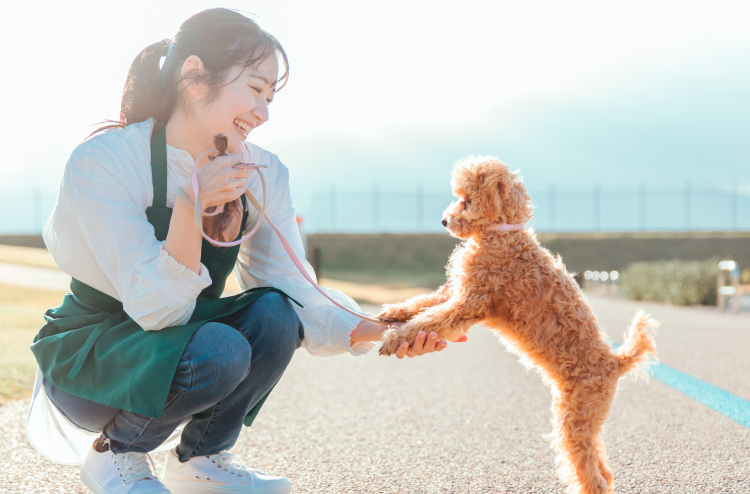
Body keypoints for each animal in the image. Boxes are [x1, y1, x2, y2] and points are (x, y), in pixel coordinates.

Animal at [378, 156, 656, 494]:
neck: (500, 233)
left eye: (466, 200)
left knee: (591, 472)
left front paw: (395, 339)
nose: (444, 221)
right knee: (602, 468)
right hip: (586, 416)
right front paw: (393, 312)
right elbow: (422, 303)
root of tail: (615, 362)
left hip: (575, 415)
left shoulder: (469, 302)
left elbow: (431, 319)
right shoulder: (454, 291)